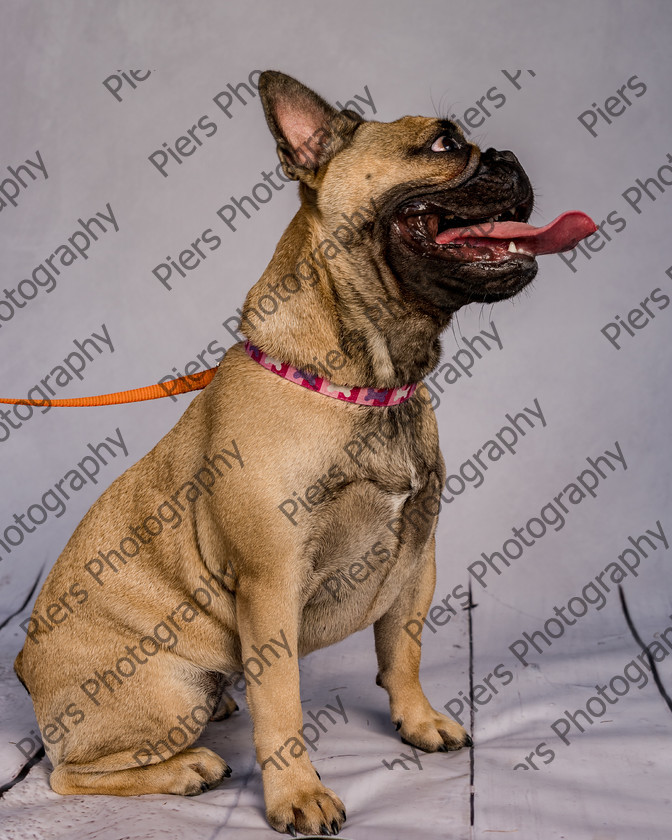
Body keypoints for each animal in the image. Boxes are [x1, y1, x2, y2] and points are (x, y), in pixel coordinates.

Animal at [14, 67, 592, 832]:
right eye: (442, 144)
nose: (506, 156)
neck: (368, 382)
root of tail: (24, 670)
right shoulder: (271, 583)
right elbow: (282, 698)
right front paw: (298, 794)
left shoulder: (419, 557)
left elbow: (403, 650)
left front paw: (419, 722)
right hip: (168, 689)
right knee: (69, 774)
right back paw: (189, 767)